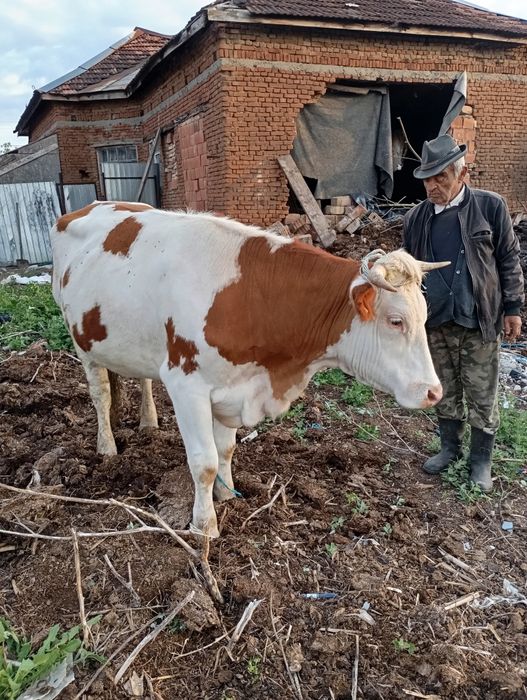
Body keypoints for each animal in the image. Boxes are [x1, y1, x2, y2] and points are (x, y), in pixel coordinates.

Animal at [51, 201, 448, 538]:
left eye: (425, 316)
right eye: (396, 321)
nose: (434, 392)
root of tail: (89, 206)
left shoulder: (233, 386)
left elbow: (225, 450)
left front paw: (227, 496)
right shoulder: (187, 385)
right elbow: (204, 462)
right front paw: (204, 526)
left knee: (143, 379)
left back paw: (148, 422)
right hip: (81, 341)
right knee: (101, 394)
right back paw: (107, 446)